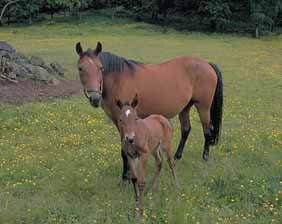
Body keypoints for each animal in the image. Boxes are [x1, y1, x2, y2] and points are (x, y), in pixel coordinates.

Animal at [75, 42, 223, 181]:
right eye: (80, 68)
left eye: (100, 68)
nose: (95, 98)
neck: (119, 80)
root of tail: (207, 63)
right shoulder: (120, 123)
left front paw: (126, 177)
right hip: (185, 108)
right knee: (186, 129)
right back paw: (176, 157)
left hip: (203, 107)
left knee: (207, 130)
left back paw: (205, 157)